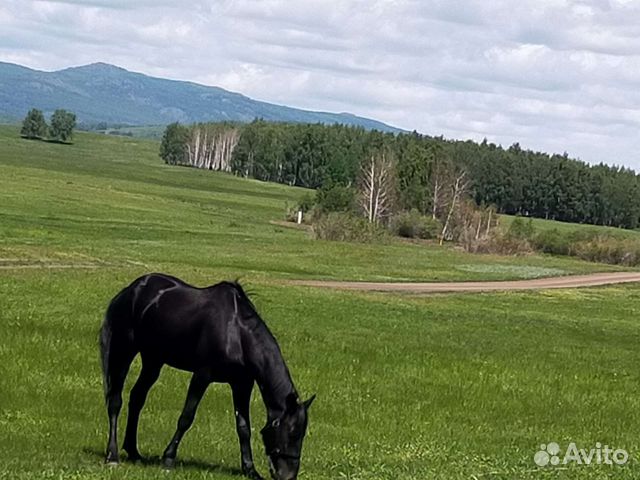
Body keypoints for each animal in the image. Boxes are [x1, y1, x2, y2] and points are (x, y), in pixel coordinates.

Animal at [98, 274, 316, 480]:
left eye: (302, 434)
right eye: (291, 432)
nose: (288, 475)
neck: (237, 333)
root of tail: (130, 290)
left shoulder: (242, 385)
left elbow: (244, 428)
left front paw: (250, 469)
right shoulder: (202, 376)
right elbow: (186, 417)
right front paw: (168, 458)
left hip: (153, 361)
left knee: (137, 398)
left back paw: (133, 452)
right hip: (123, 351)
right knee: (115, 401)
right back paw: (113, 455)